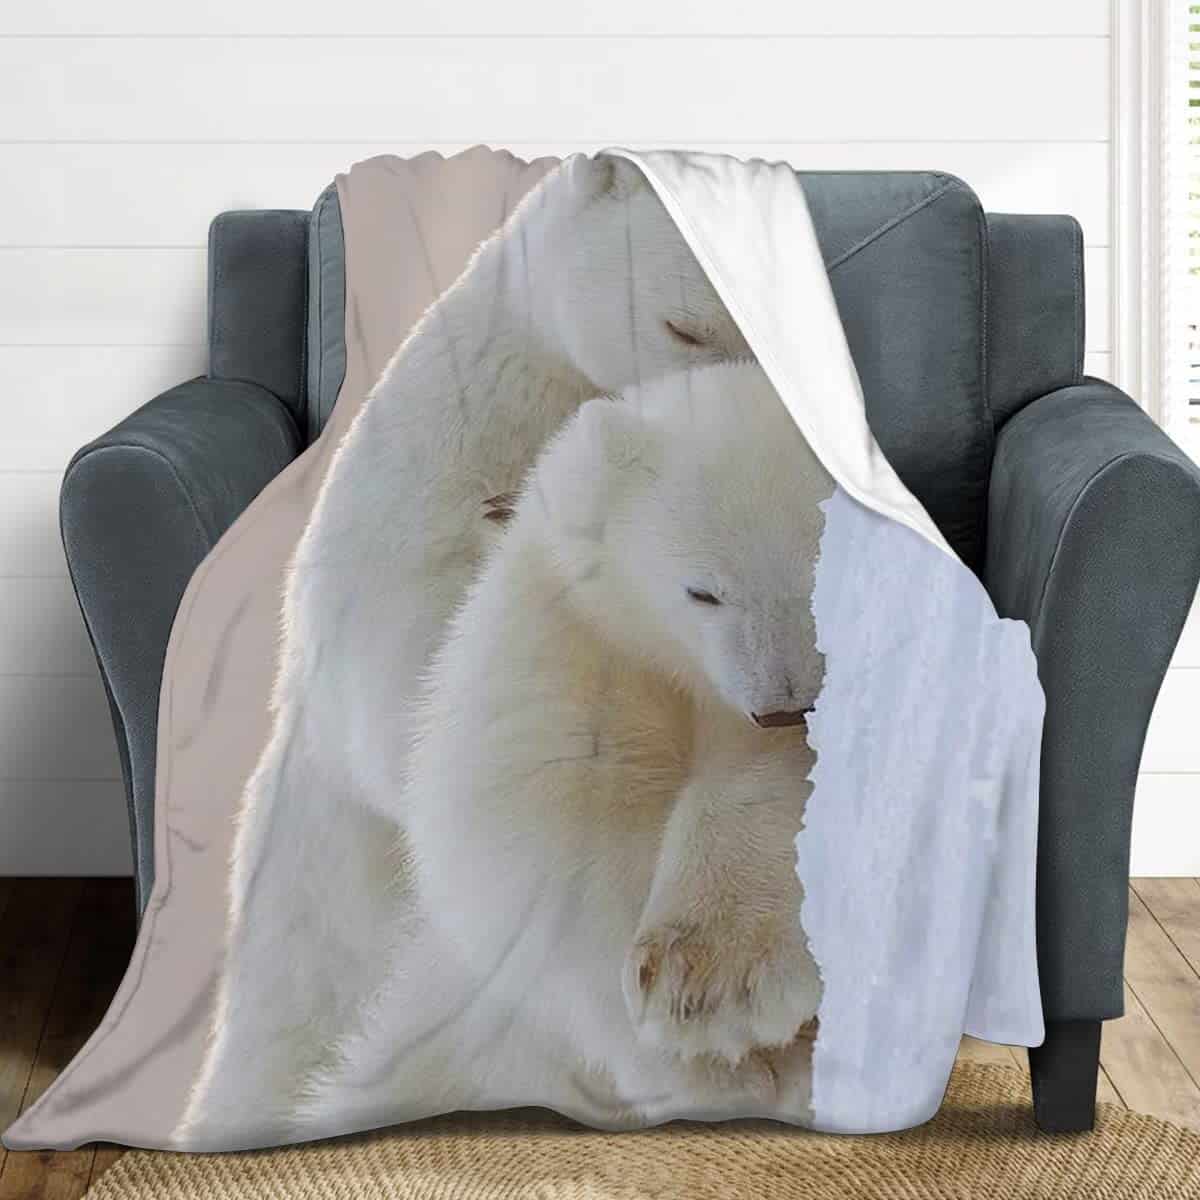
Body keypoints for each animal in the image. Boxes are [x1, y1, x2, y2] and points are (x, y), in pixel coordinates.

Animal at [294, 361, 833, 1140]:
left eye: (827, 570)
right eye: (702, 591)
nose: (783, 704)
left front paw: (721, 980)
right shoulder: (569, 636)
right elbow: (544, 844)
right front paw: (709, 1032)